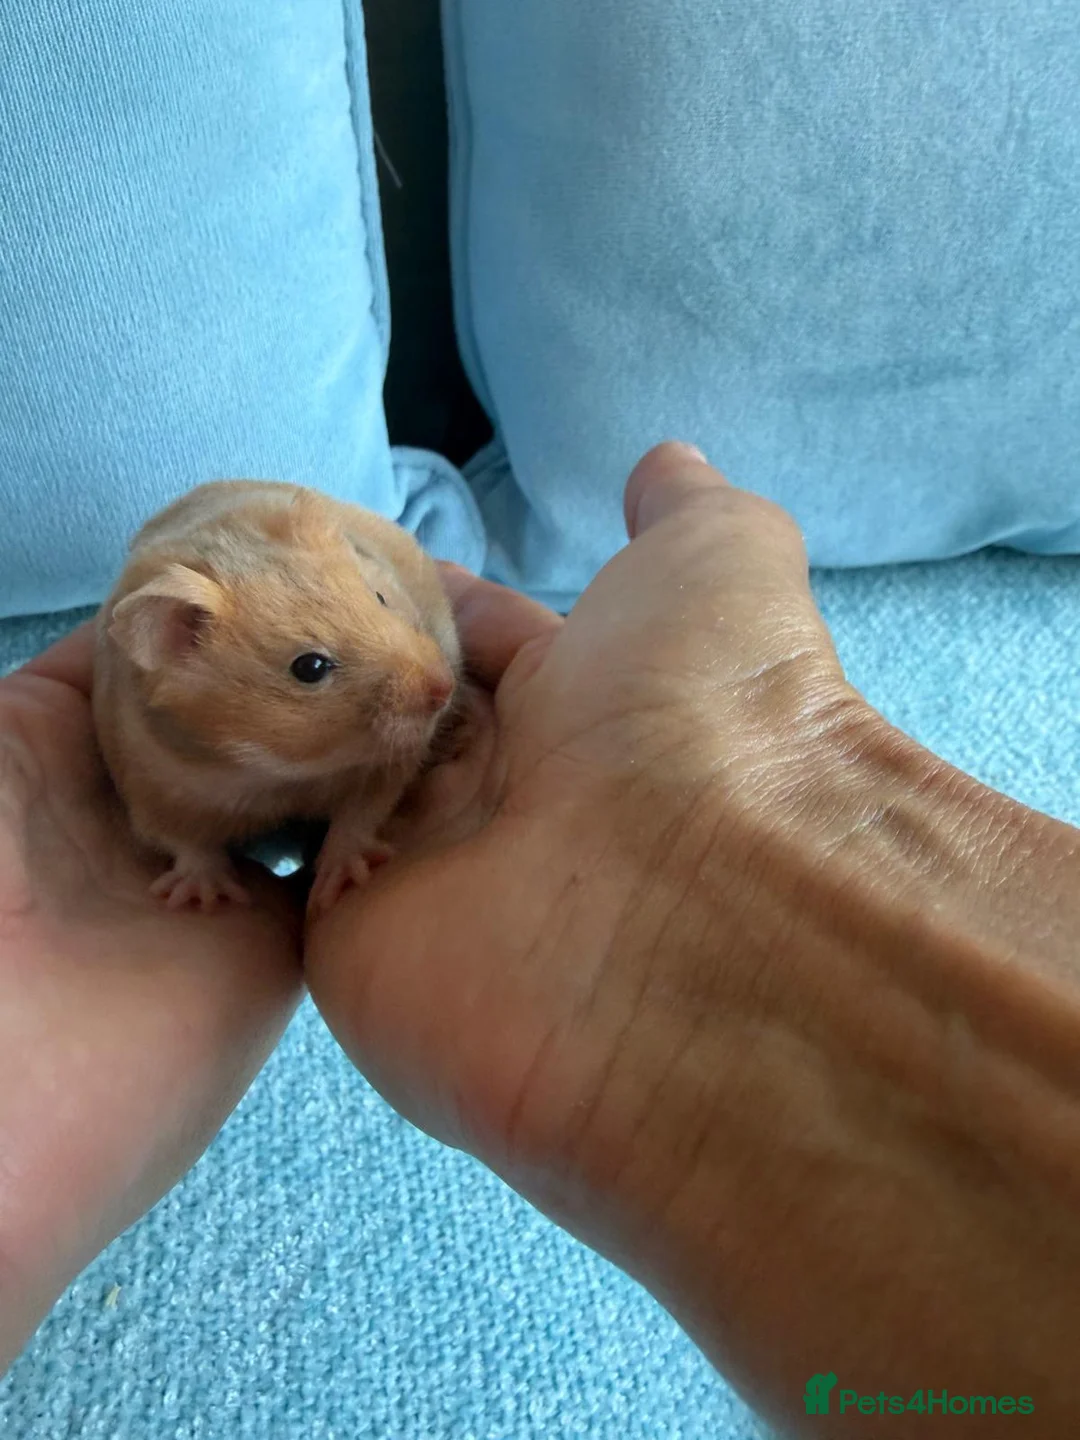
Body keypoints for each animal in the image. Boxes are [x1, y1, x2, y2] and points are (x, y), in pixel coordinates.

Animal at [92, 479, 461, 916]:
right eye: (310, 667)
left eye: (380, 598)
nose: (444, 687)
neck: (275, 771)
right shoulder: (152, 789)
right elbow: (184, 843)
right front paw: (206, 898)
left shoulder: (382, 769)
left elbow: (360, 815)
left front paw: (339, 880)